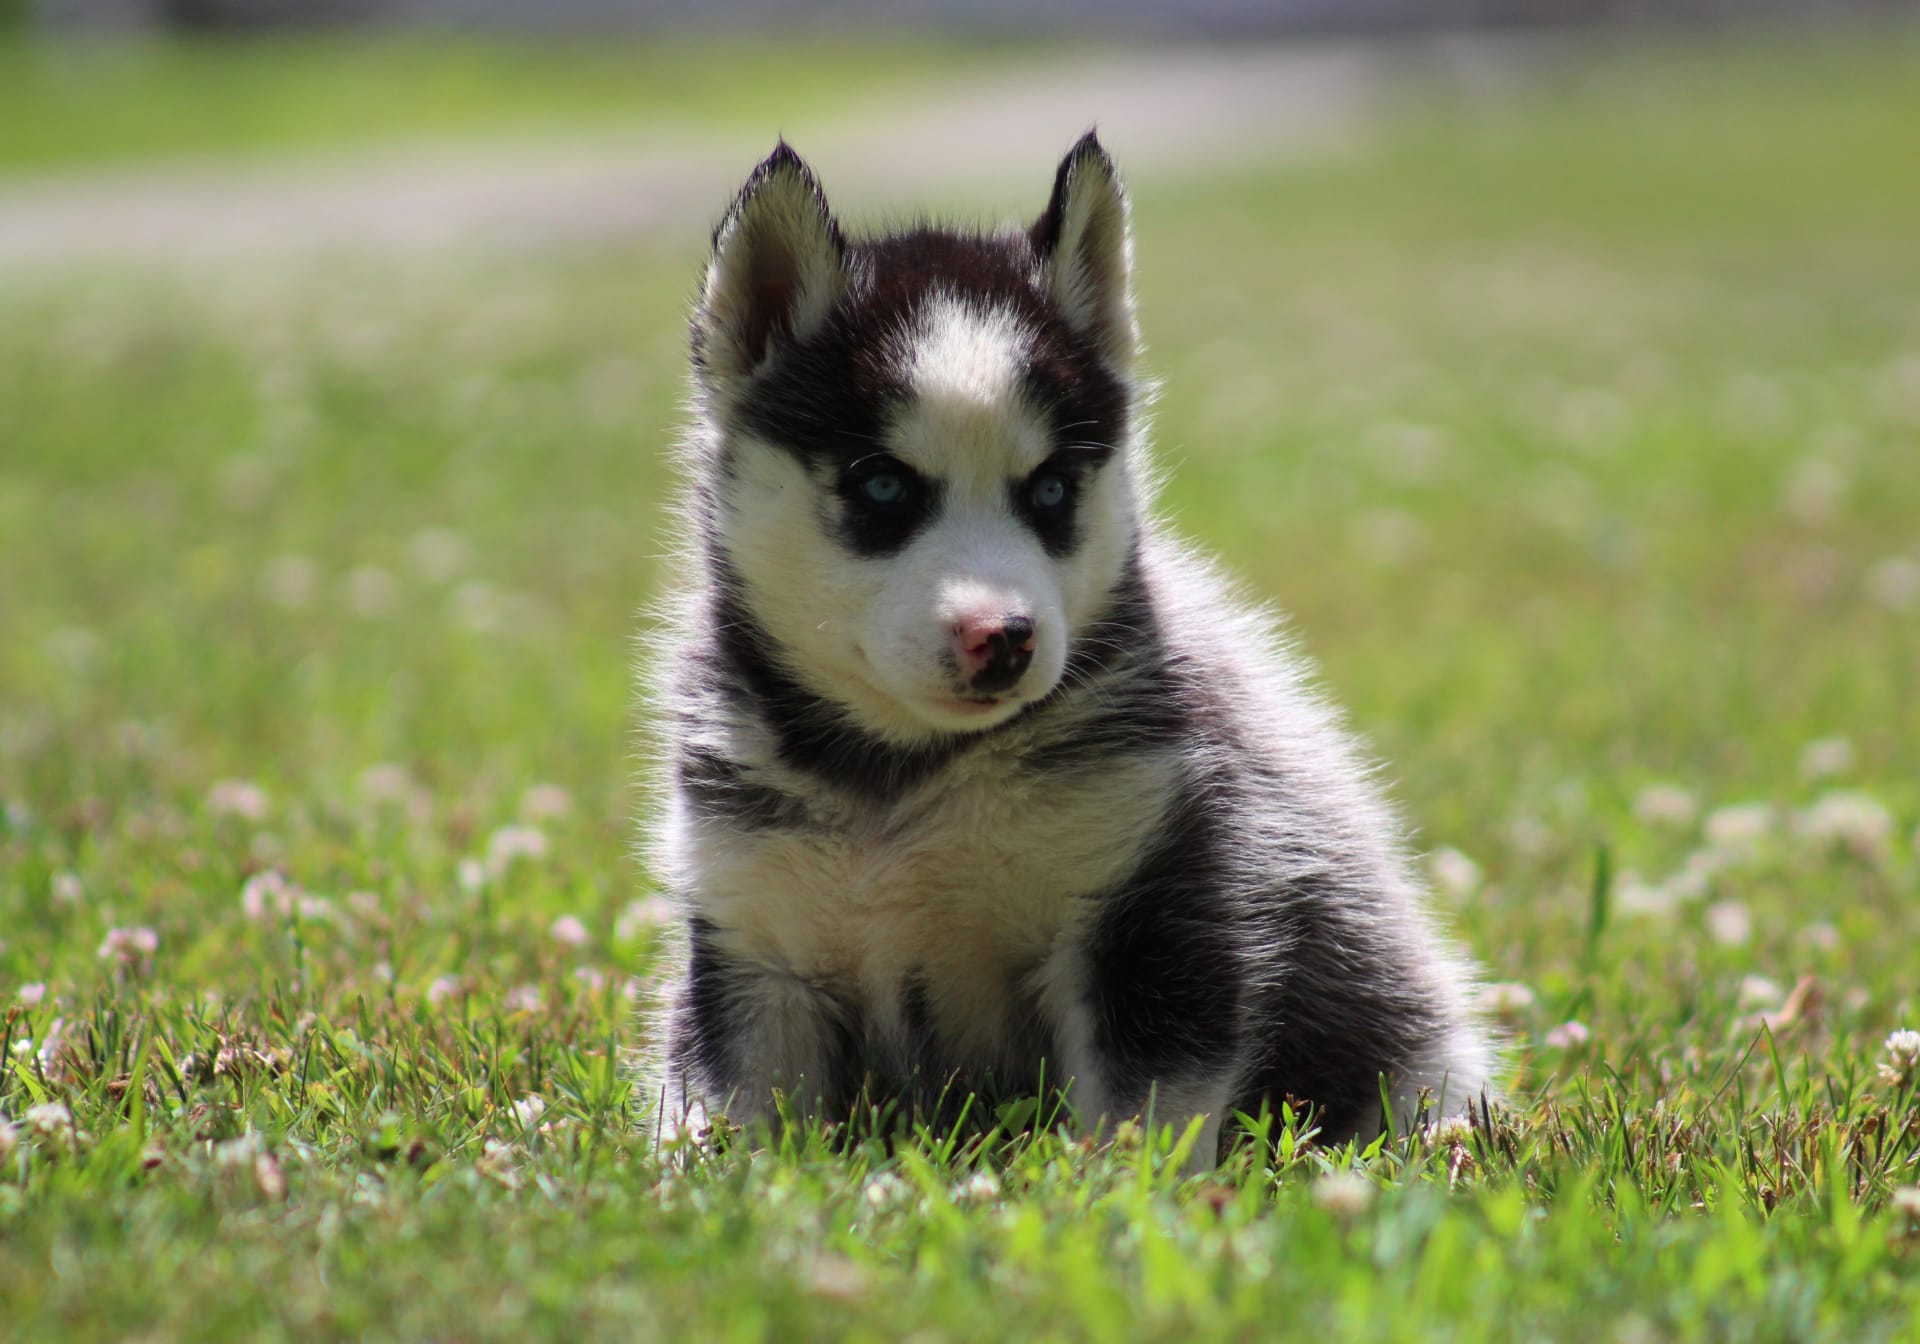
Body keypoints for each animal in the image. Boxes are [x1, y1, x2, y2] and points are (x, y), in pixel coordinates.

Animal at [645, 139, 1482, 1167]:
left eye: (1049, 489)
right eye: (881, 485)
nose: (1002, 637)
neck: (908, 781)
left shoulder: (1151, 908)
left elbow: (1147, 1113)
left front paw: (1127, 1197)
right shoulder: (754, 943)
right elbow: (732, 1113)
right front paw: (704, 1184)